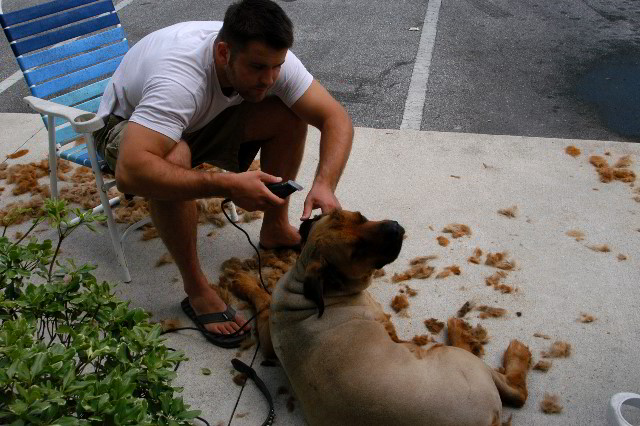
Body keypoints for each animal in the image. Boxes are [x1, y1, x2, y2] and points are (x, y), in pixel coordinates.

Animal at [232, 211, 532, 426]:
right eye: (357, 250)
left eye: (361, 218)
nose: (395, 228)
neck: (313, 288)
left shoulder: (269, 339)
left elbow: (263, 301)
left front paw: (244, 281)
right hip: (460, 361)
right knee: (516, 391)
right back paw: (480, 338)